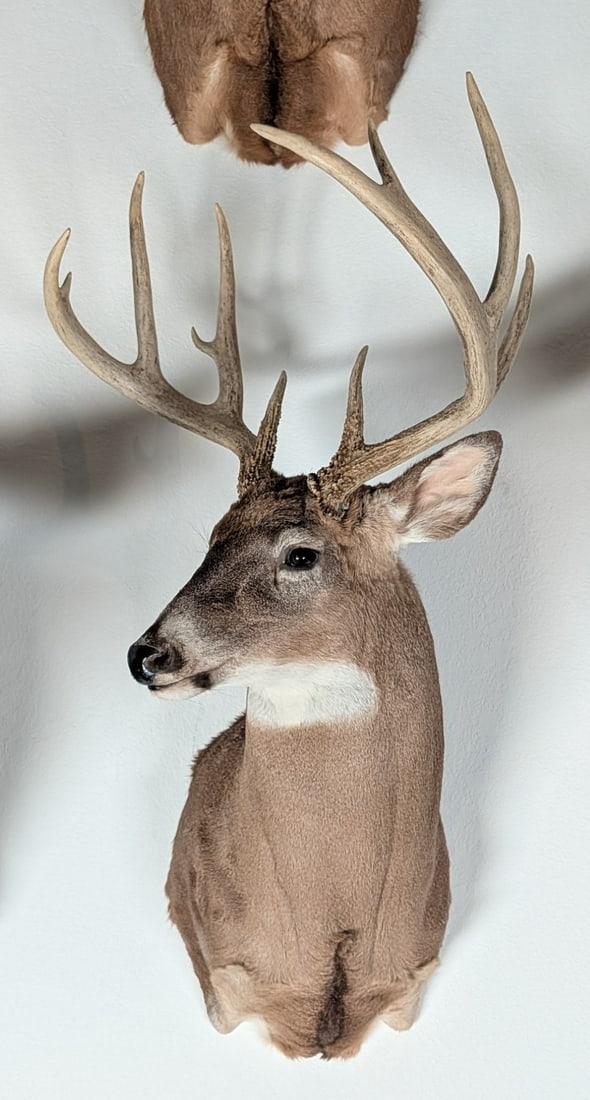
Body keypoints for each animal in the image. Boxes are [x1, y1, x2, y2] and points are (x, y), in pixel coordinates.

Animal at [44, 75, 533, 1059]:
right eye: (208, 536)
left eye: (301, 554)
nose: (147, 654)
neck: (331, 932)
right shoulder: (222, 979)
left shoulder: (415, 981)